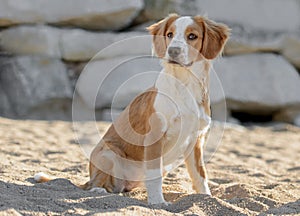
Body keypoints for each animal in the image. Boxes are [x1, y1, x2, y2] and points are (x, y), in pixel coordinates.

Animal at [34, 14, 229, 205]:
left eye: (192, 36)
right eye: (169, 35)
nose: (173, 51)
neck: (184, 83)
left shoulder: (196, 140)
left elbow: (200, 175)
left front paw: (206, 197)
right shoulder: (155, 137)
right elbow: (155, 175)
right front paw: (158, 203)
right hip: (108, 154)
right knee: (94, 184)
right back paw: (98, 190)